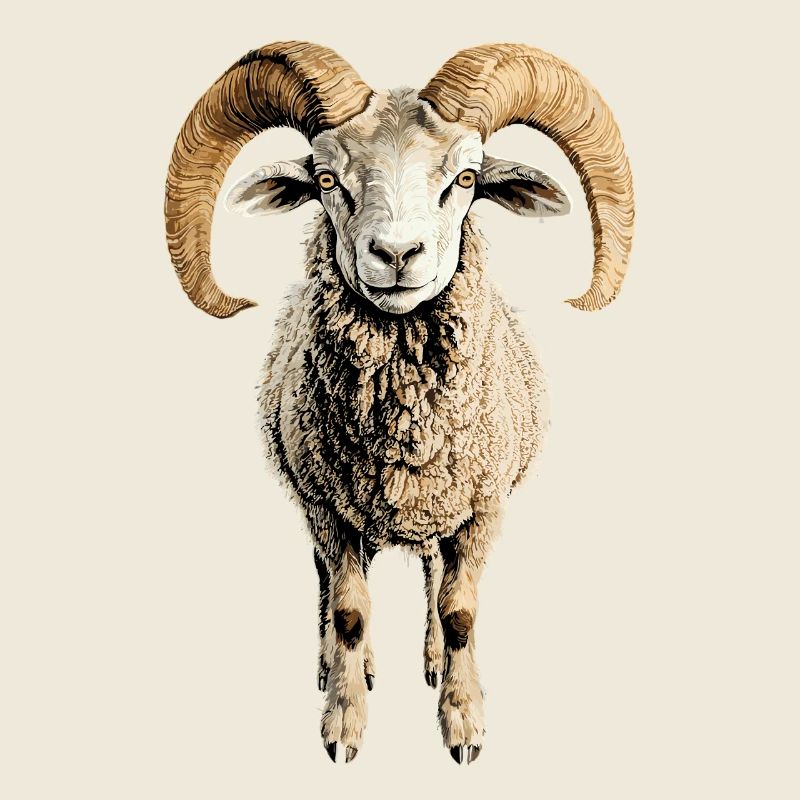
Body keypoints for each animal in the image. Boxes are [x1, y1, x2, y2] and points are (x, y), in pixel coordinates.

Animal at [164, 41, 634, 765]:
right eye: (326, 178)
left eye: (466, 178)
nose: (395, 253)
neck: (405, 434)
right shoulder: (328, 508)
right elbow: (351, 612)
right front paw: (343, 725)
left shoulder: (481, 509)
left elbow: (460, 610)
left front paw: (464, 725)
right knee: (331, 584)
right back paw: (341, 667)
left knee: (434, 580)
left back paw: (434, 662)